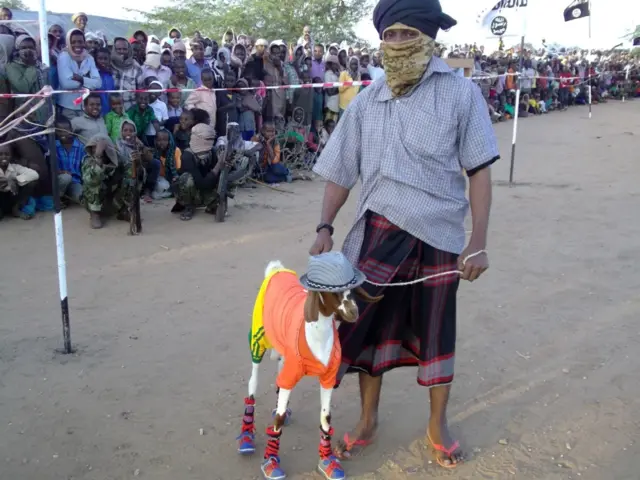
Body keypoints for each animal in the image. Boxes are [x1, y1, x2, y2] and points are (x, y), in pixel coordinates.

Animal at [239, 260, 380, 478]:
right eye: (332, 291)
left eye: (353, 288)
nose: (353, 312)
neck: (317, 336)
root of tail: (277, 269)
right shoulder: (289, 369)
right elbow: (278, 421)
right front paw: (271, 462)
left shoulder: (328, 379)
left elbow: (325, 418)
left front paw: (327, 461)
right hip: (258, 339)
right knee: (253, 383)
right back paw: (246, 437)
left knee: (279, 380)